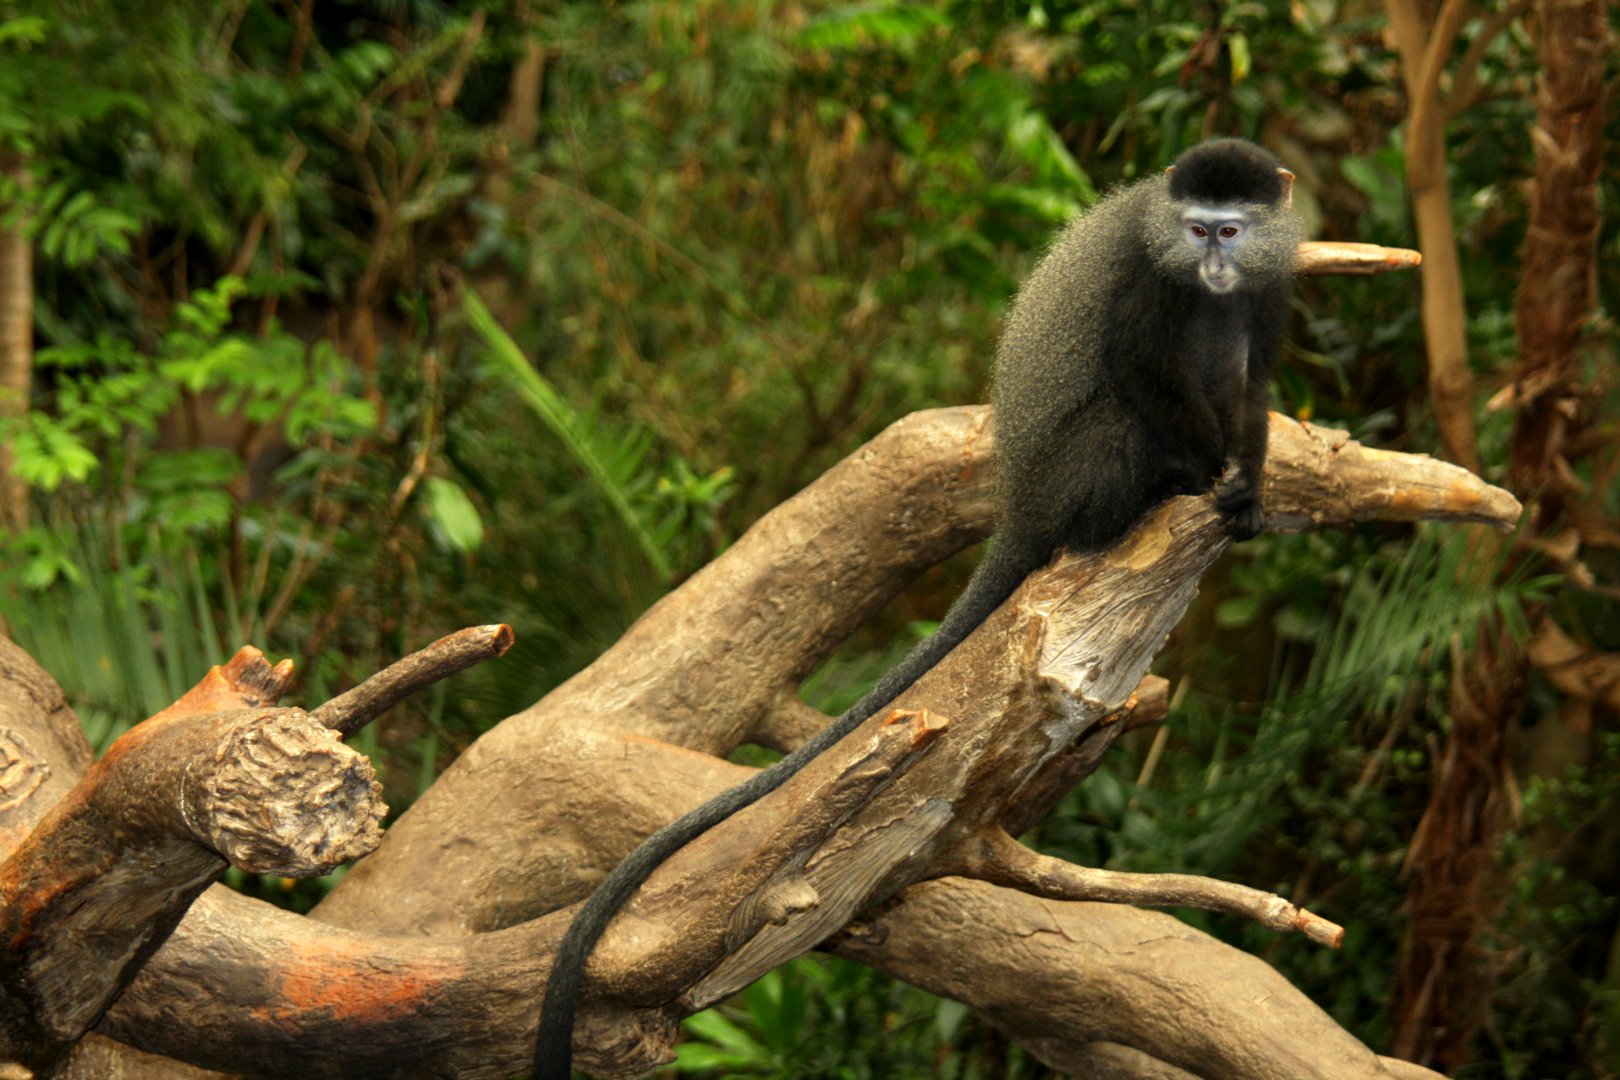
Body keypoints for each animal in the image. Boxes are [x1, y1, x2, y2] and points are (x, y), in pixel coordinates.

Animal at [534, 137, 1300, 1079]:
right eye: (1197, 230)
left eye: (1232, 229)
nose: (1214, 263)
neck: (1203, 279)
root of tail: (1022, 499)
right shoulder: (1148, 280)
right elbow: (1139, 372)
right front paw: (1207, 472)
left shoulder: (1269, 284)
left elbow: (1248, 383)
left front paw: (1250, 486)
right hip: (1080, 473)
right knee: (1122, 428)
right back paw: (1162, 489)